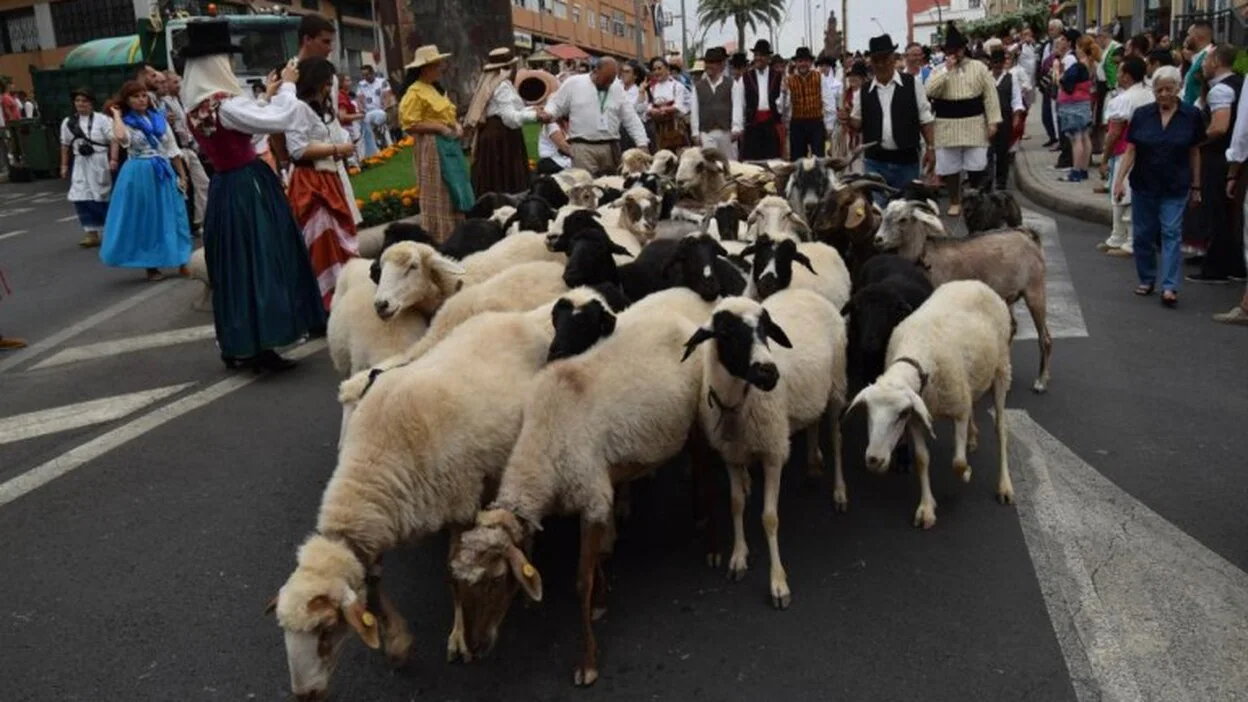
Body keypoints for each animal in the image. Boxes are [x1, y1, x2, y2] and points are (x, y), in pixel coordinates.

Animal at [270, 287, 611, 694]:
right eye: (284, 635)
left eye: (325, 631)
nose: (305, 694)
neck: (374, 463)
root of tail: (527, 318)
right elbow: (375, 580)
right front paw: (398, 644)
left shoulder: (461, 501)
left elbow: (453, 574)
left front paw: (458, 638)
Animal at [446, 296, 713, 684]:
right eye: (460, 587)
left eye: (496, 581)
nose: (477, 648)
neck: (542, 449)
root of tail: (679, 318)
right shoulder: (597, 498)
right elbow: (599, 556)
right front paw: (602, 600)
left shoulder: (592, 498)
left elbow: (580, 583)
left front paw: (587, 660)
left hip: (696, 415)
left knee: (702, 462)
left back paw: (704, 522)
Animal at [683, 289, 848, 607]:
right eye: (726, 332)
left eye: (765, 330)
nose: (769, 373)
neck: (738, 402)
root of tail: (808, 292)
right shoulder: (731, 455)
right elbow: (736, 504)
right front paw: (738, 558)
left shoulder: (773, 452)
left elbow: (770, 518)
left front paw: (778, 584)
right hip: (812, 395)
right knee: (812, 423)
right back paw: (812, 465)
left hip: (836, 385)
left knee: (836, 439)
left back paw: (839, 492)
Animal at [848, 276, 1013, 527]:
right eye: (868, 413)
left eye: (899, 415)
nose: (874, 460)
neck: (916, 358)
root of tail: (975, 282)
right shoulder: (917, 417)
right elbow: (921, 459)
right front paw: (926, 509)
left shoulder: (957, 410)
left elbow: (958, 462)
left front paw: (966, 473)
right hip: (972, 376)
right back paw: (973, 437)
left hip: (1002, 369)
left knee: (1001, 428)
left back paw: (1004, 485)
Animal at [878, 198, 1053, 394]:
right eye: (884, 216)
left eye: (903, 219)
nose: (878, 239)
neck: (926, 258)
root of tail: (1029, 236)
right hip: (1007, 296)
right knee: (1013, 328)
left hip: (1035, 291)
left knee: (1045, 338)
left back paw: (1041, 381)